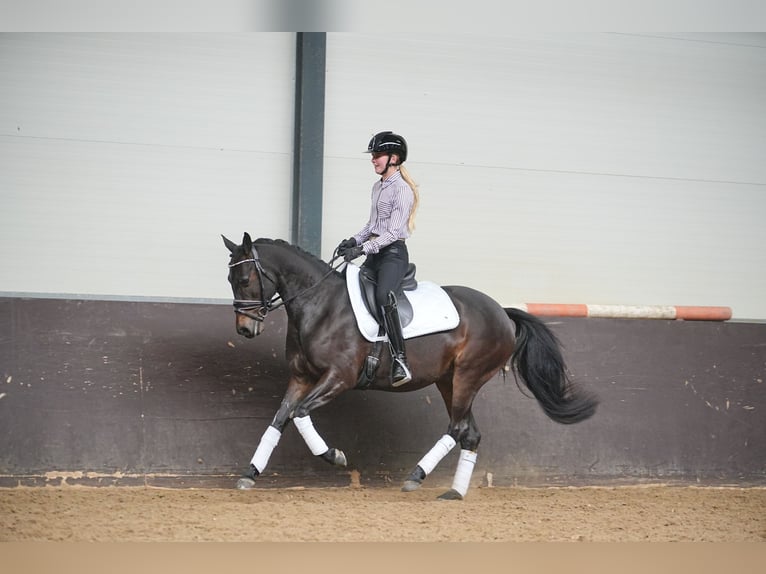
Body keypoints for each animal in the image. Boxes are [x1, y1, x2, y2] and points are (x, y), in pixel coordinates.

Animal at [222, 233, 600, 500]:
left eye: (244, 280)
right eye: (230, 280)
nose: (244, 329)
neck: (320, 304)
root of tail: (502, 313)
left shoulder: (339, 377)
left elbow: (300, 415)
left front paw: (335, 456)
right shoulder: (302, 378)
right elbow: (278, 420)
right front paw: (249, 474)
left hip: (468, 376)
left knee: (457, 428)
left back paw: (416, 477)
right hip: (449, 381)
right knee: (470, 433)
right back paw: (454, 492)